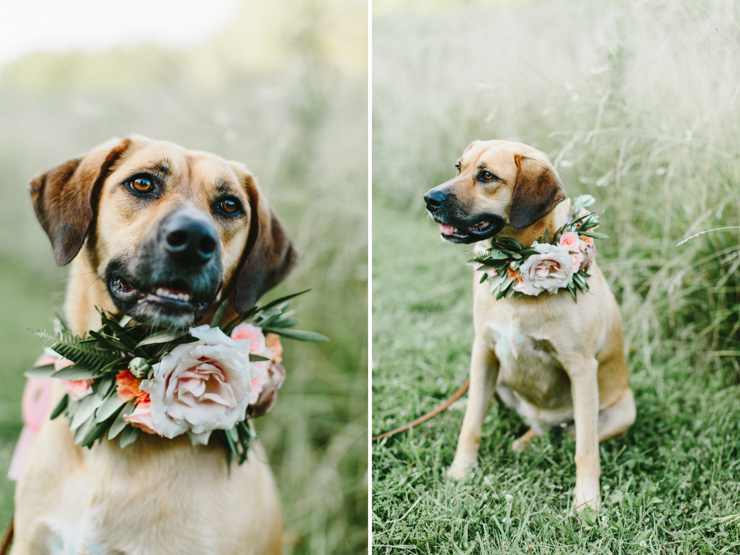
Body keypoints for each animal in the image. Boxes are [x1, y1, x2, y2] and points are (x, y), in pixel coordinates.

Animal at [422, 141, 636, 510]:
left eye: (487, 176)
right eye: (459, 167)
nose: (428, 199)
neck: (517, 274)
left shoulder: (582, 368)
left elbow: (586, 450)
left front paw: (587, 503)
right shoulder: (484, 352)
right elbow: (471, 424)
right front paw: (460, 473)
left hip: (622, 410)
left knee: (568, 433)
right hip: (500, 378)